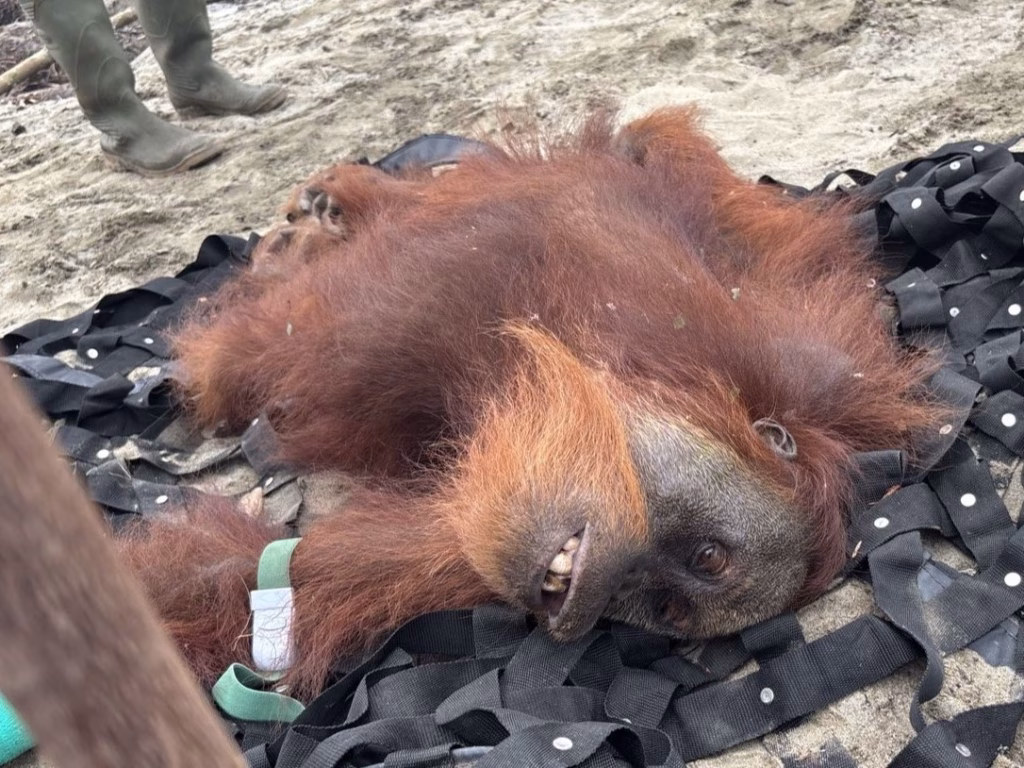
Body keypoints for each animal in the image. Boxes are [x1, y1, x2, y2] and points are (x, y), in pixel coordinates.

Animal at [119, 106, 944, 702]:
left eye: (667, 609)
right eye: (708, 558)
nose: (594, 596)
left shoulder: (470, 541)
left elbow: (257, 577)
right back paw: (318, 210)